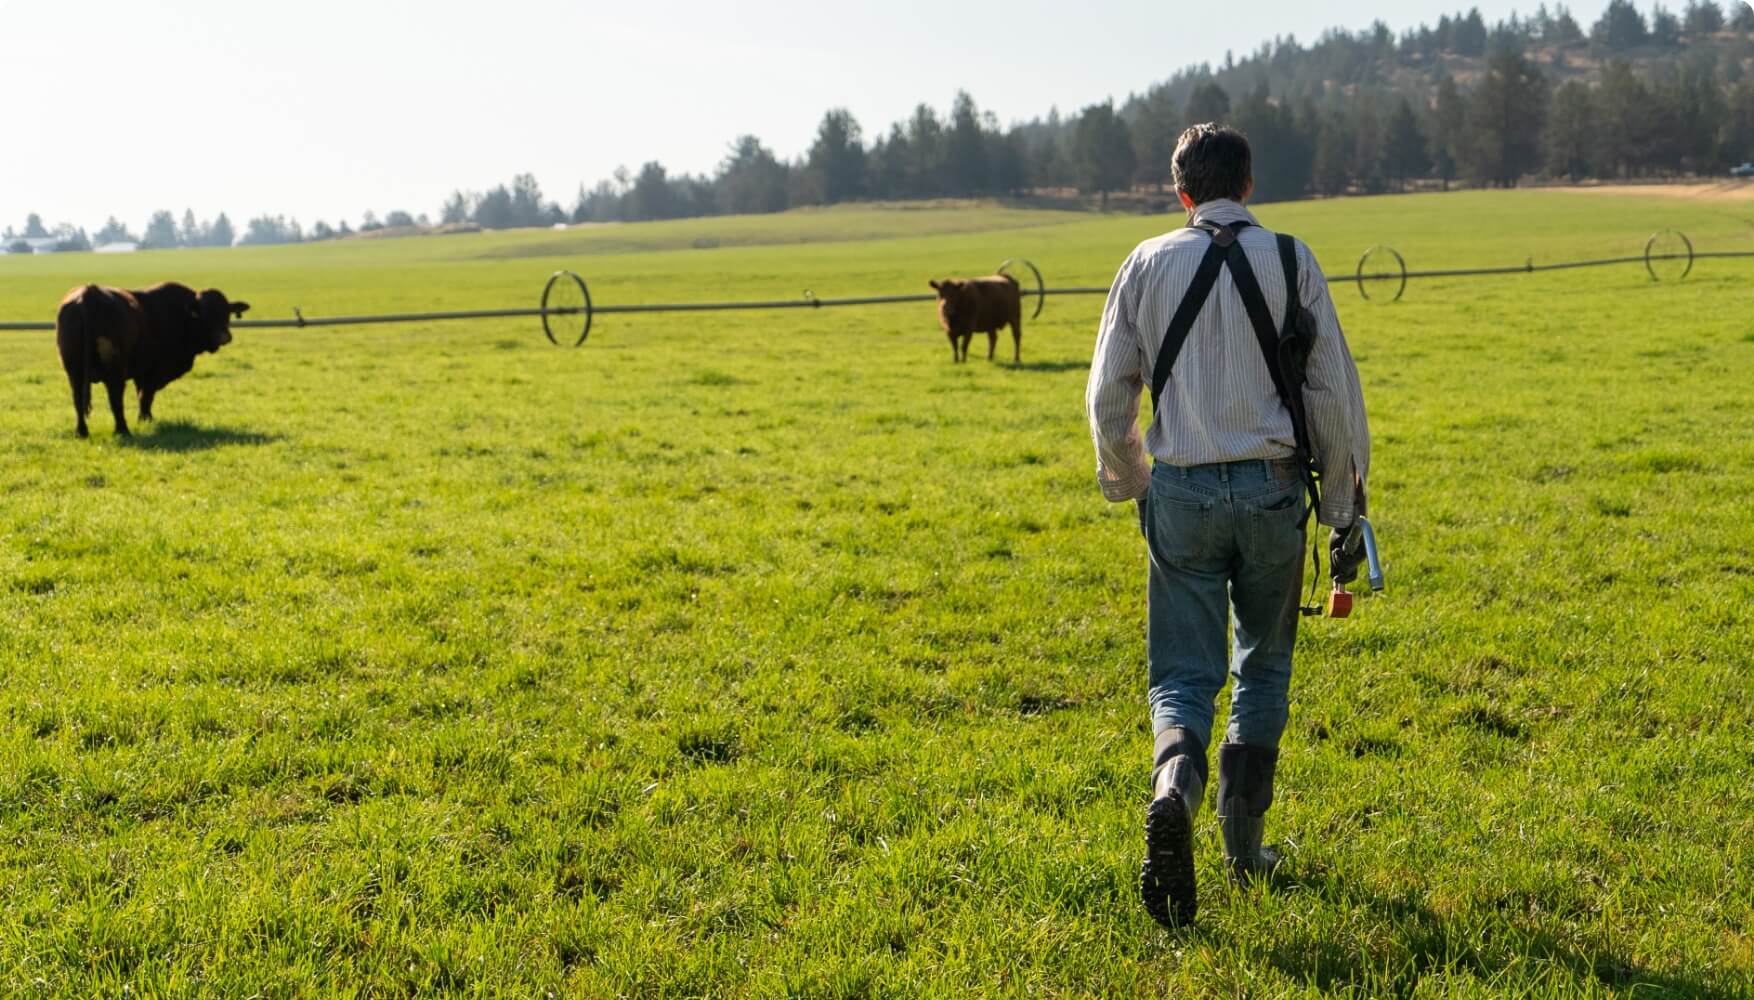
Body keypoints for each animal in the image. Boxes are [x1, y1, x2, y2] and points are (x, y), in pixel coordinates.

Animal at [55, 282, 248, 437]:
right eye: (205, 313)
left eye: (226, 312)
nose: (224, 336)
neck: (181, 316)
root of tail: (88, 293)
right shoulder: (152, 372)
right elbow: (146, 396)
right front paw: (144, 419)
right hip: (115, 371)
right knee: (115, 399)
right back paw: (122, 430)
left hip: (74, 372)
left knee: (78, 399)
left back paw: (82, 431)